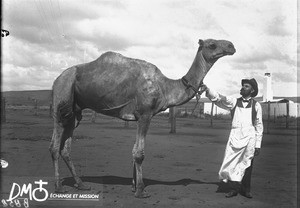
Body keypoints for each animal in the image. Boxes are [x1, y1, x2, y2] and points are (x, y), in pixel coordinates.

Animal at [49, 38, 236, 198]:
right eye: (212, 44)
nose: (231, 46)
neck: (166, 88)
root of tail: (56, 79)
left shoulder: (139, 117)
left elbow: (134, 150)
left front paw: (134, 185)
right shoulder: (145, 114)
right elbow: (139, 153)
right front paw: (140, 190)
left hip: (75, 113)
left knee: (66, 148)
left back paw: (81, 184)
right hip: (61, 98)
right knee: (54, 146)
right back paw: (59, 186)